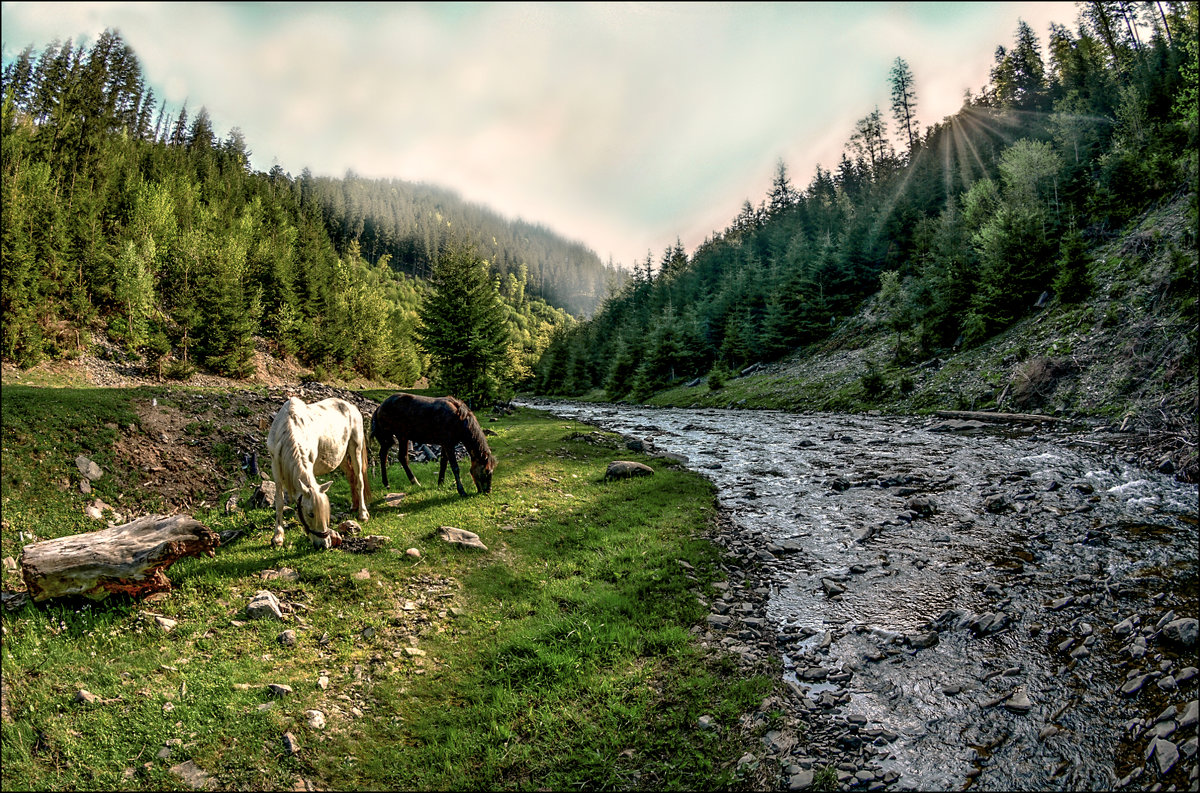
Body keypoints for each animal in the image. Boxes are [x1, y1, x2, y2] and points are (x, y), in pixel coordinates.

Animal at [267, 393, 369, 544]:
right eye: (311, 514)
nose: (324, 544)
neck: (288, 427)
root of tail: (352, 407)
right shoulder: (275, 467)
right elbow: (279, 501)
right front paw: (278, 537)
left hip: (355, 448)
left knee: (359, 480)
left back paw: (362, 513)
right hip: (342, 456)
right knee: (351, 476)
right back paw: (354, 505)